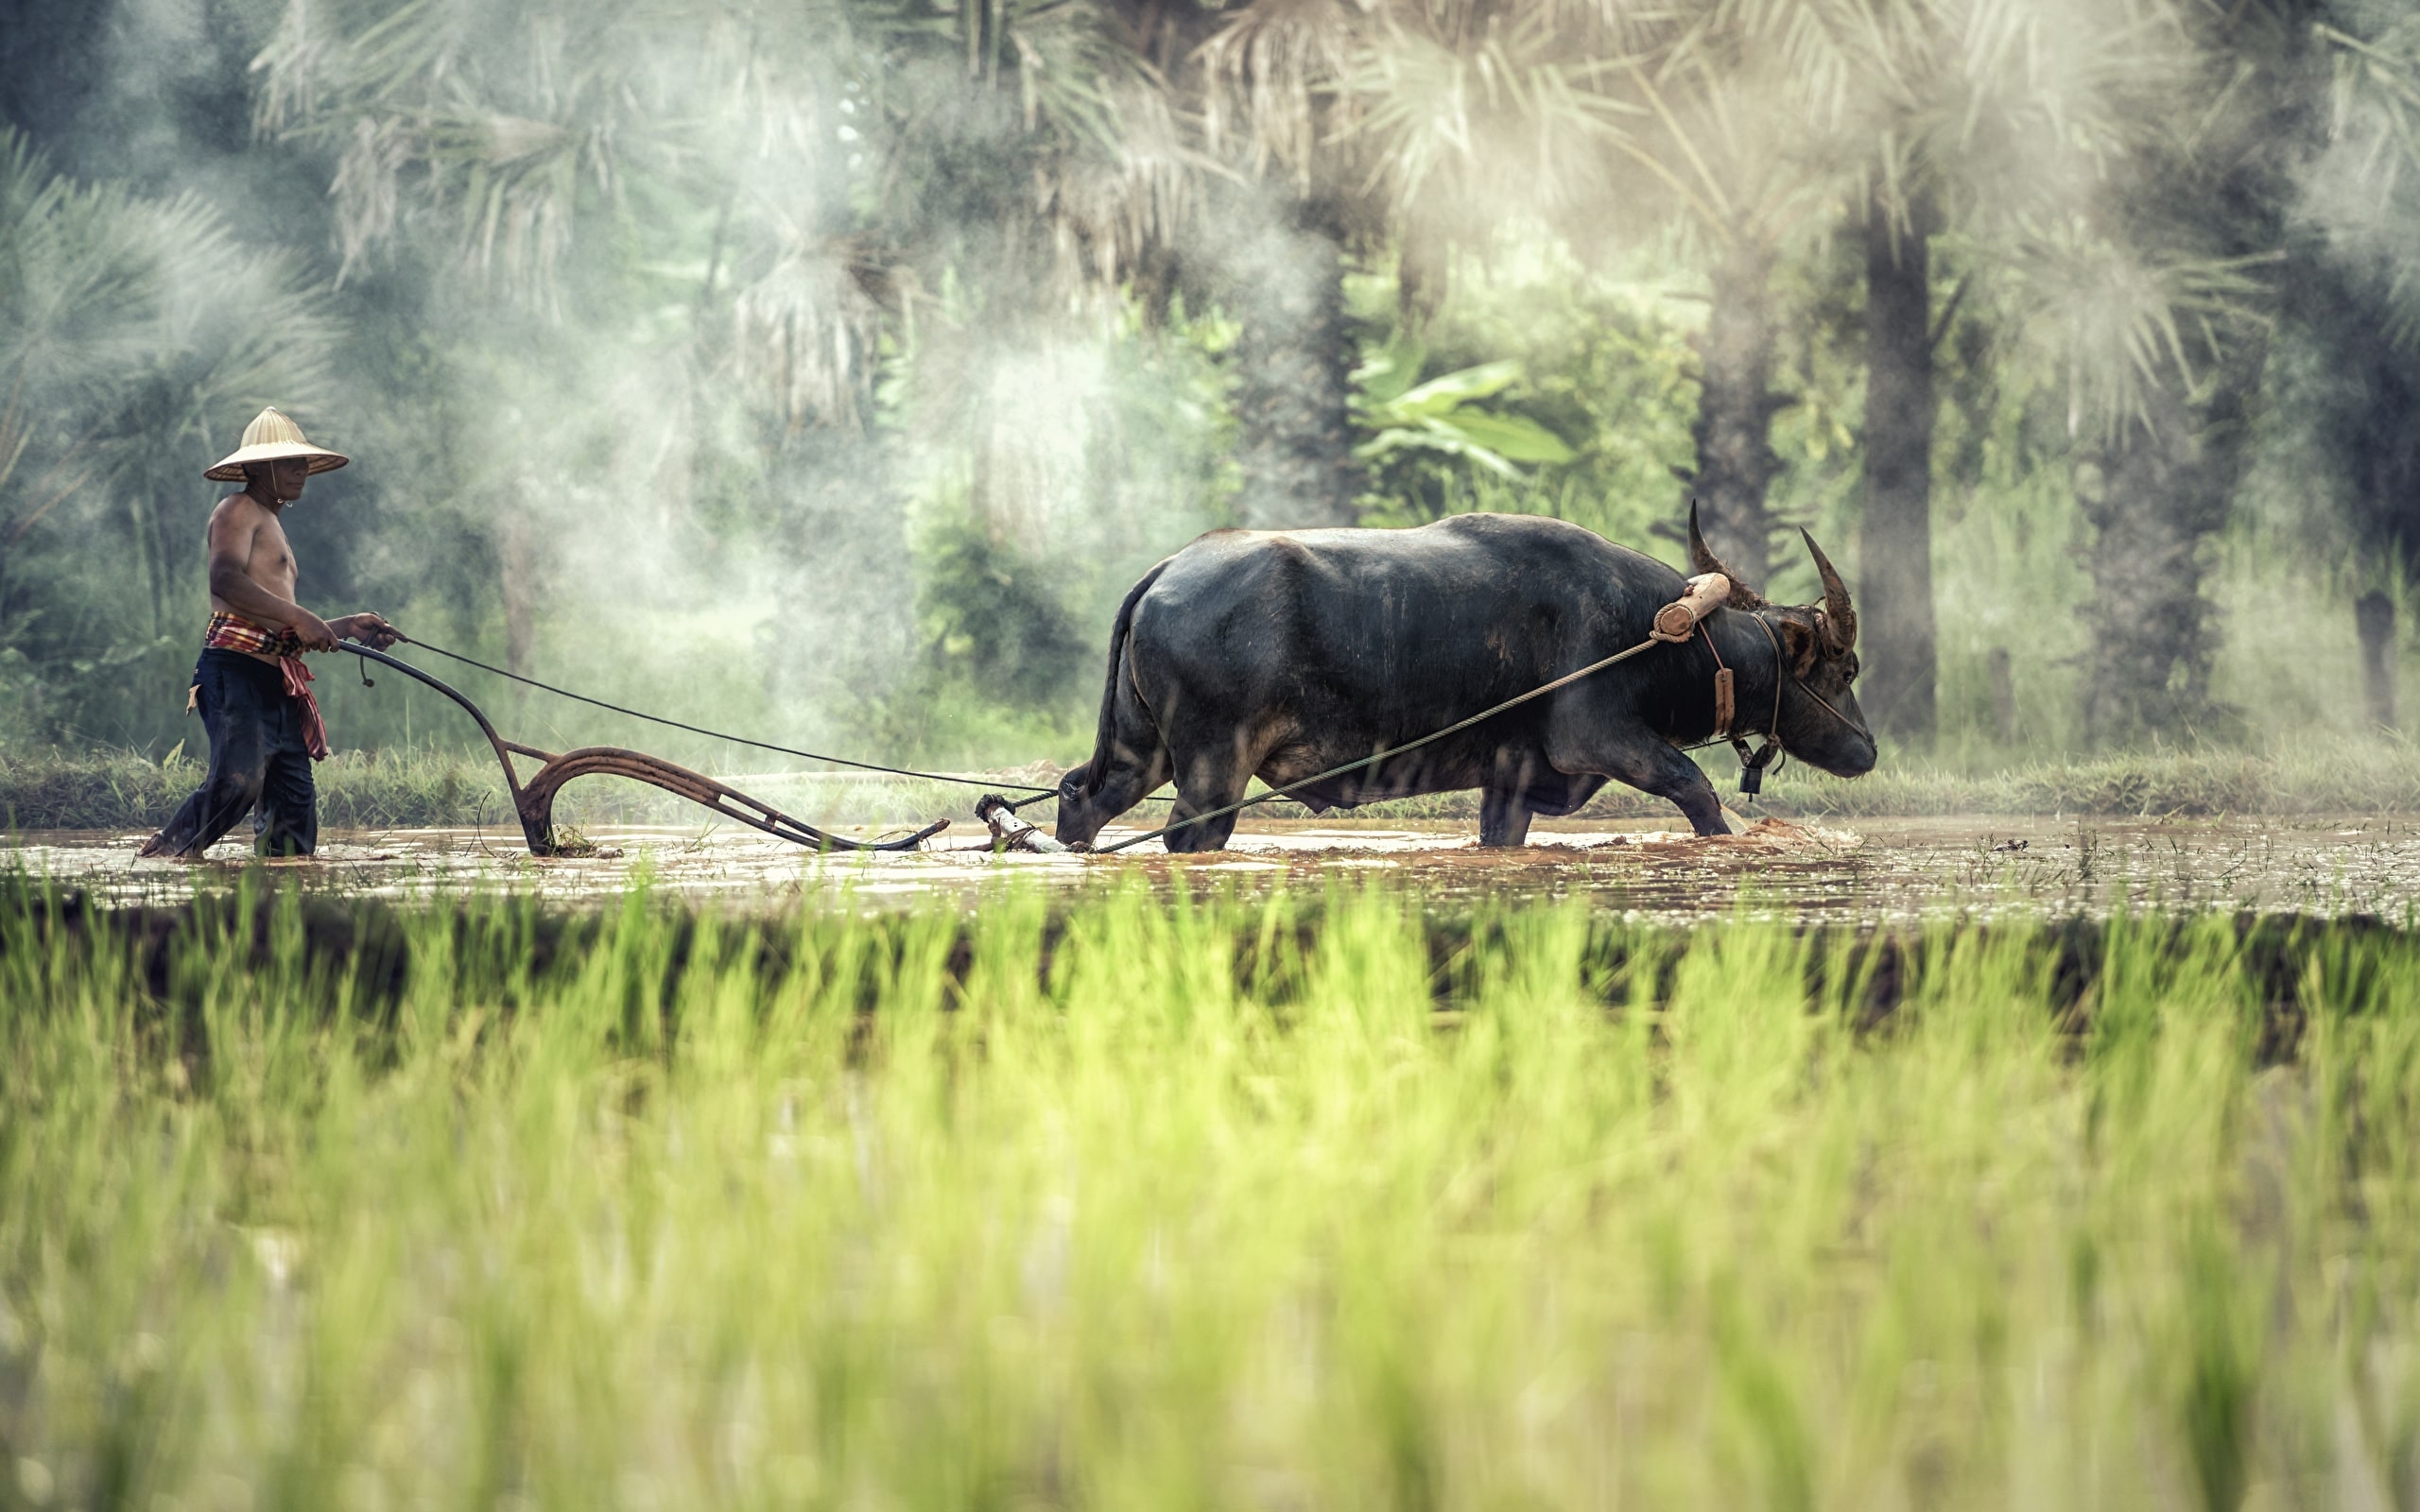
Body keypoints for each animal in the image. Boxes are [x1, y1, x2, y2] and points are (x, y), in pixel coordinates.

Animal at [1055, 507, 1868, 851]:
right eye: (1845, 666)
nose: (1867, 750)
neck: (1661, 631)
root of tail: (1167, 571)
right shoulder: (1601, 738)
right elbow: (1696, 791)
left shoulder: (1512, 780)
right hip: (1213, 769)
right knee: (1188, 834)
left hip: (1139, 751)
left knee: (1081, 797)